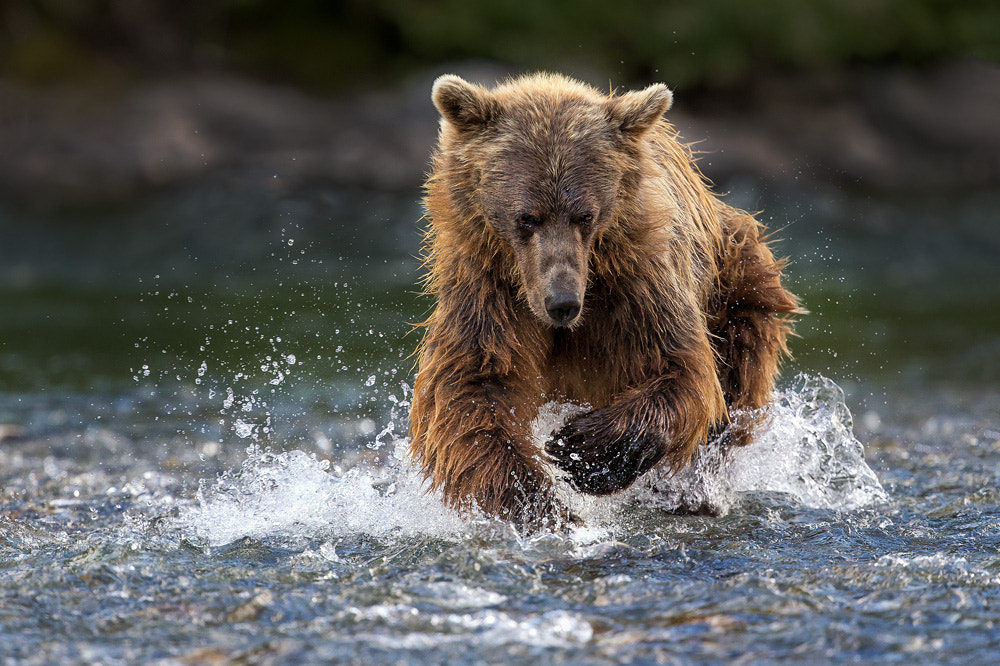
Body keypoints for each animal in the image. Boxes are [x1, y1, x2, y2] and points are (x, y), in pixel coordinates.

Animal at [404, 72, 796, 528]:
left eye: (585, 215)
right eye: (526, 217)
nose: (562, 302)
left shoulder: (638, 280)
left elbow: (681, 369)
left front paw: (583, 451)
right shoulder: (486, 287)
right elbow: (472, 389)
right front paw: (540, 504)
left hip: (735, 281)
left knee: (736, 376)